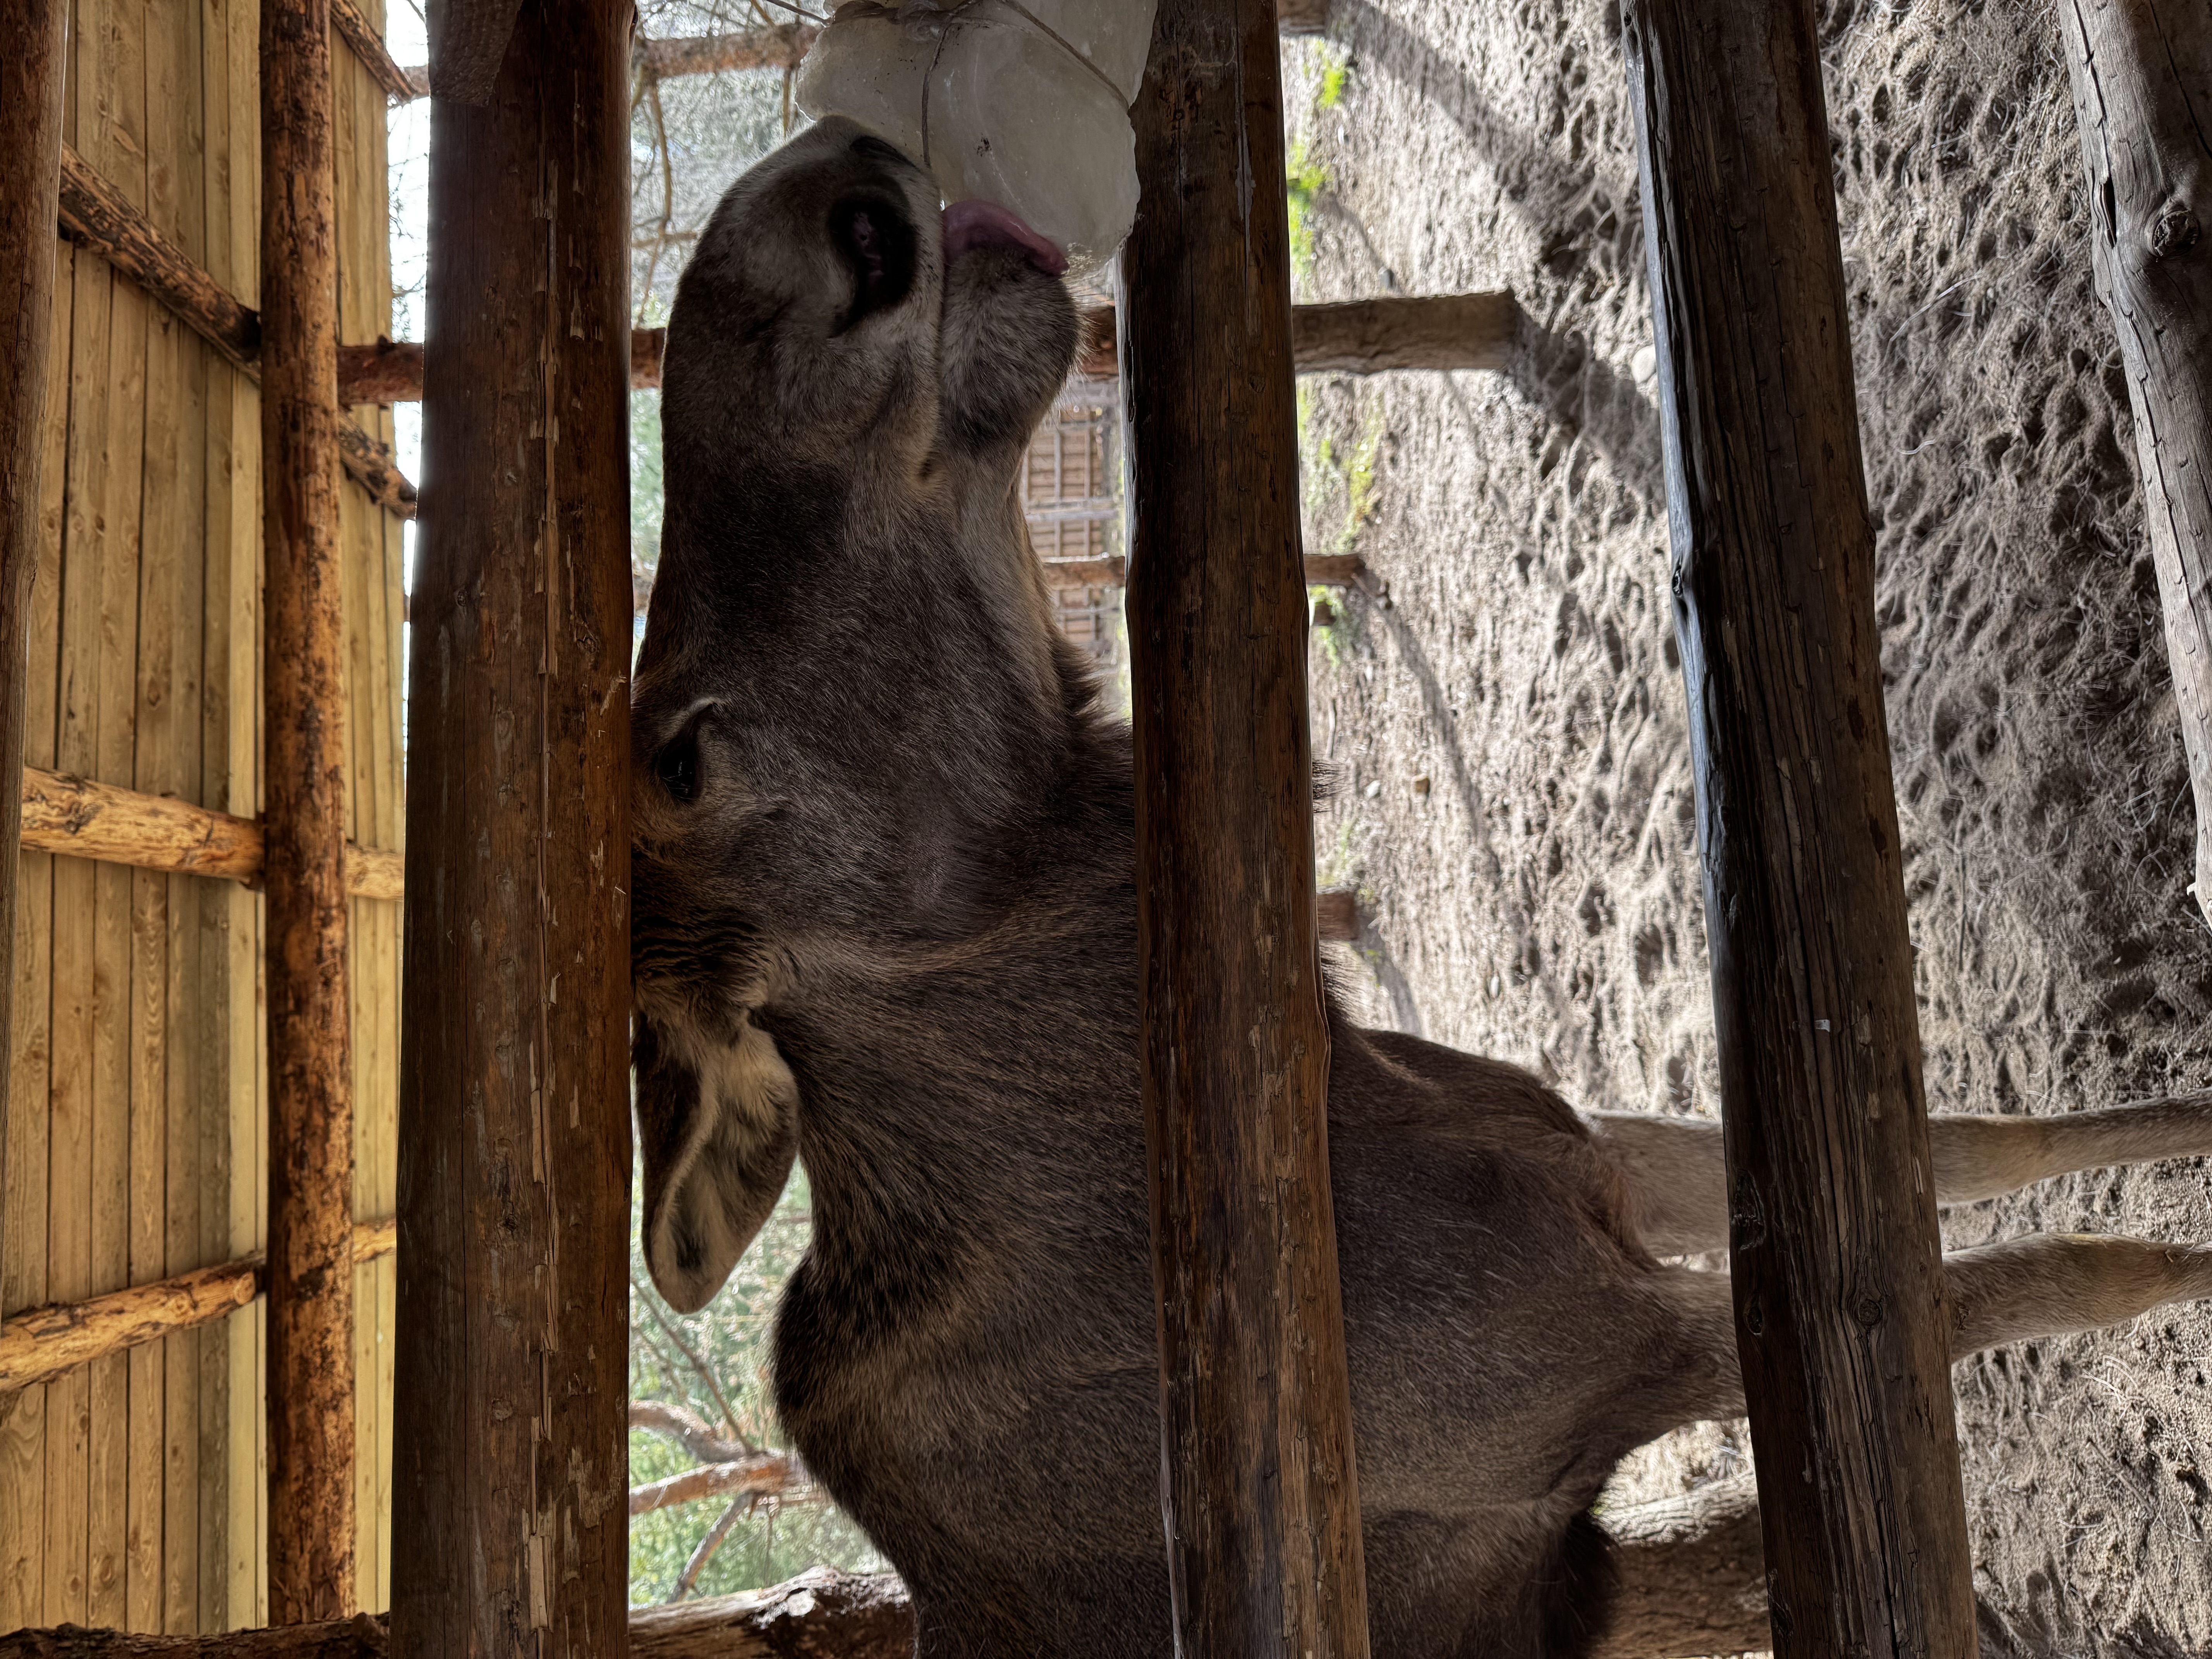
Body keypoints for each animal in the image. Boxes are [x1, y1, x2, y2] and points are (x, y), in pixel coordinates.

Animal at [628, 115, 2212, 1659]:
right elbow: (2061, 1268)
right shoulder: (1610, 1364)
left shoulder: (1597, 1160)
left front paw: (2183, 1104)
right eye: (682, 763)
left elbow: (1992, 1142)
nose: (822, 184)